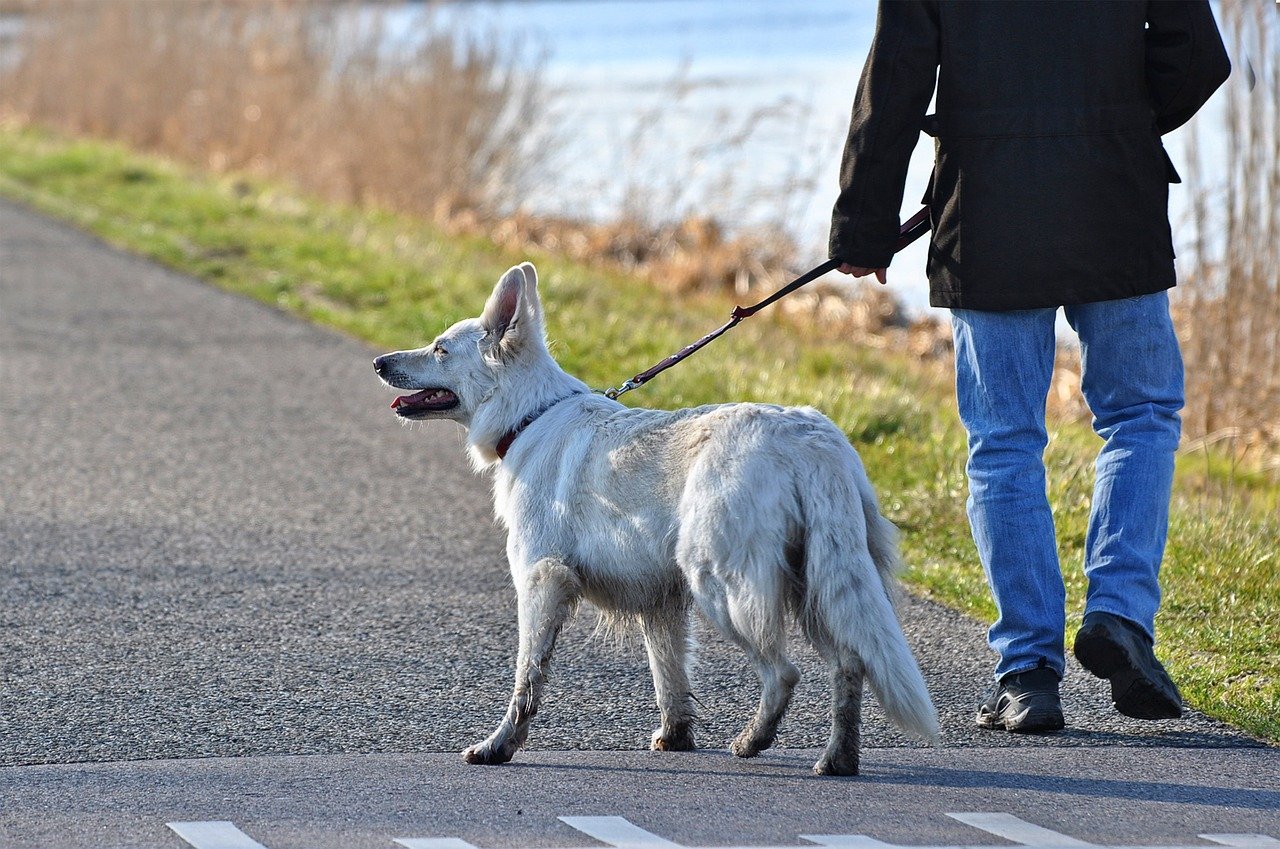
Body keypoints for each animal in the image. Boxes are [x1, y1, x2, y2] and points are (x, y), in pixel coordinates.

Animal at [373, 262, 936, 773]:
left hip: (723, 586)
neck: (529, 416)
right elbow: (670, 679)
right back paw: (837, 759)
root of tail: (811, 439)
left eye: (440, 349)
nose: (379, 361)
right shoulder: (660, 603)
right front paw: (676, 738)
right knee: (850, 664)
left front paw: (500, 746)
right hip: (817, 585)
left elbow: (527, 677)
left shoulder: (541, 582)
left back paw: (753, 741)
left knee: (784, 673)